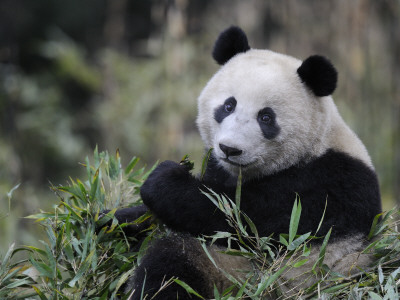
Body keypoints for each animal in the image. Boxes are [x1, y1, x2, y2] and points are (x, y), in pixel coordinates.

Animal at [111, 27, 382, 298]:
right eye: (228, 105)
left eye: (266, 117)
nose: (230, 149)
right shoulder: (218, 168)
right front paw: (114, 218)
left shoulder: (323, 187)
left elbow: (239, 219)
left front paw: (164, 179)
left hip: (249, 277)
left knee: (173, 262)